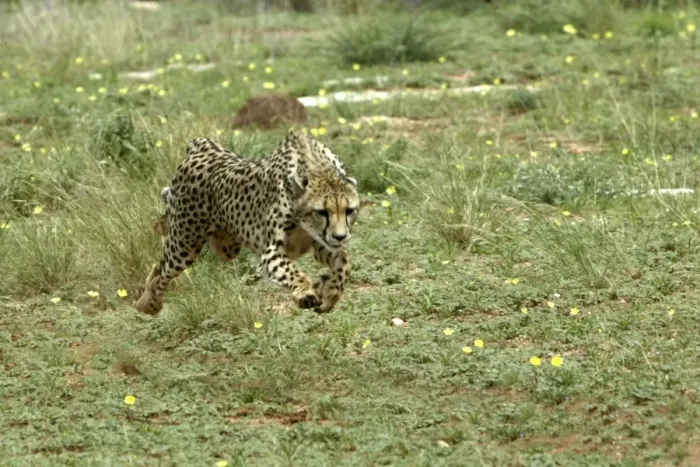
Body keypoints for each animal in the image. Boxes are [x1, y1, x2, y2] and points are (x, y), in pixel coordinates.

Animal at [133, 130, 360, 316]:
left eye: (349, 210)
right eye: (322, 212)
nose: (340, 236)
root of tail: (206, 145)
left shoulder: (319, 243)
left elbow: (344, 260)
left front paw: (330, 292)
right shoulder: (272, 252)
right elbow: (292, 271)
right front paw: (305, 292)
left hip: (226, 247)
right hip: (185, 243)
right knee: (162, 268)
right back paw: (148, 304)